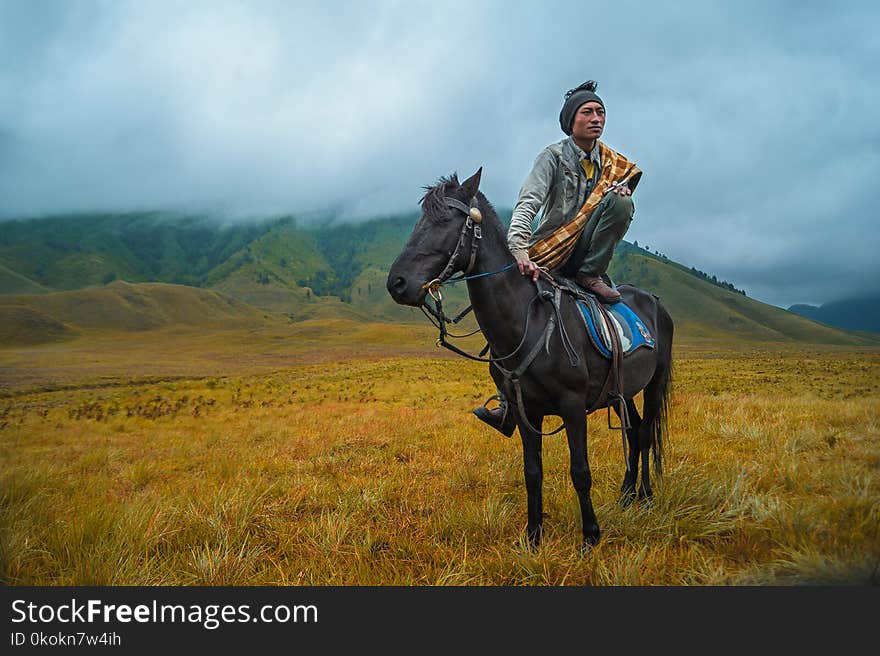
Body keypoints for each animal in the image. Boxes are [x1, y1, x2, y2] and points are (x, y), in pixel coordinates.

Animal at [386, 169, 672, 548]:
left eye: (444, 220)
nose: (397, 283)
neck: (527, 321)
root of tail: (654, 300)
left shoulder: (572, 406)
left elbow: (580, 471)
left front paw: (590, 536)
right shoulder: (524, 411)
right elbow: (532, 472)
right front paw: (533, 536)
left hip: (654, 383)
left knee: (646, 433)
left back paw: (646, 496)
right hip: (620, 392)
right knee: (635, 429)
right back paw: (626, 496)